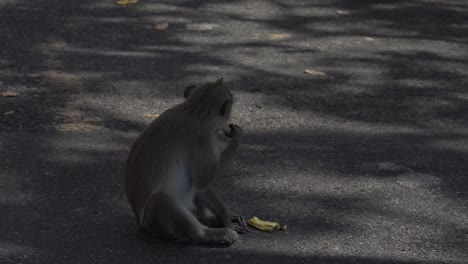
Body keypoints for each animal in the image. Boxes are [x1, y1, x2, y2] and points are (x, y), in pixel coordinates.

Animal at [124, 78, 249, 245]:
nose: (229, 122)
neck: (194, 111)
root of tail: (140, 223)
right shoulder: (202, 139)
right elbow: (203, 182)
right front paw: (237, 137)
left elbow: (200, 185)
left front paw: (225, 216)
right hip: (153, 222)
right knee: (160, 200)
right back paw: (209, 234)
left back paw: (208, 220)